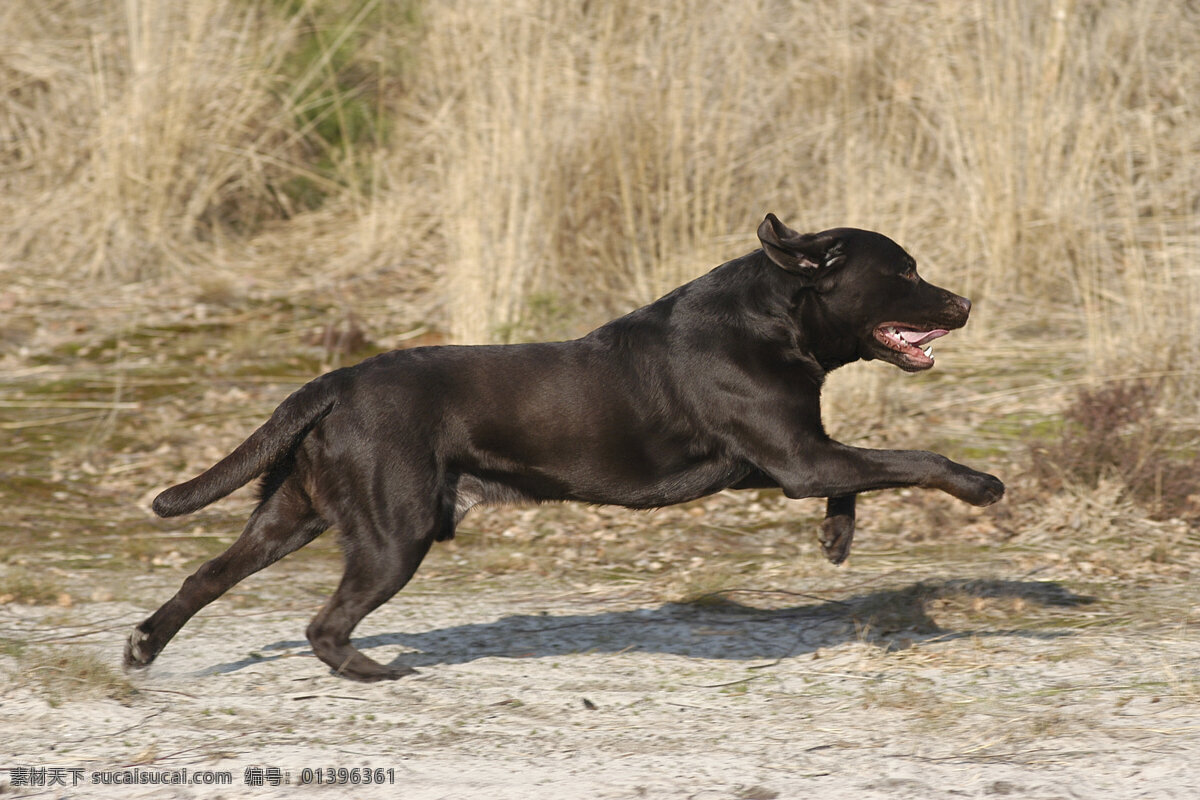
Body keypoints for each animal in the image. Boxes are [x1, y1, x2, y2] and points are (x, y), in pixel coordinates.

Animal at [126, 214, 1003, 681]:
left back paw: (142, 648)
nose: (964, 302)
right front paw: (984, 485)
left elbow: (866, 475)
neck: (777, 317)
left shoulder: (781, 460)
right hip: (393, 532)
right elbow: (913, 459)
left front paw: (836, 538)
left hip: (293, 512)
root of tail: (336, 380)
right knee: (324, 624)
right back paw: (376, 671)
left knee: (206, 576)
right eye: (906, 270)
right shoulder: (796, 458)